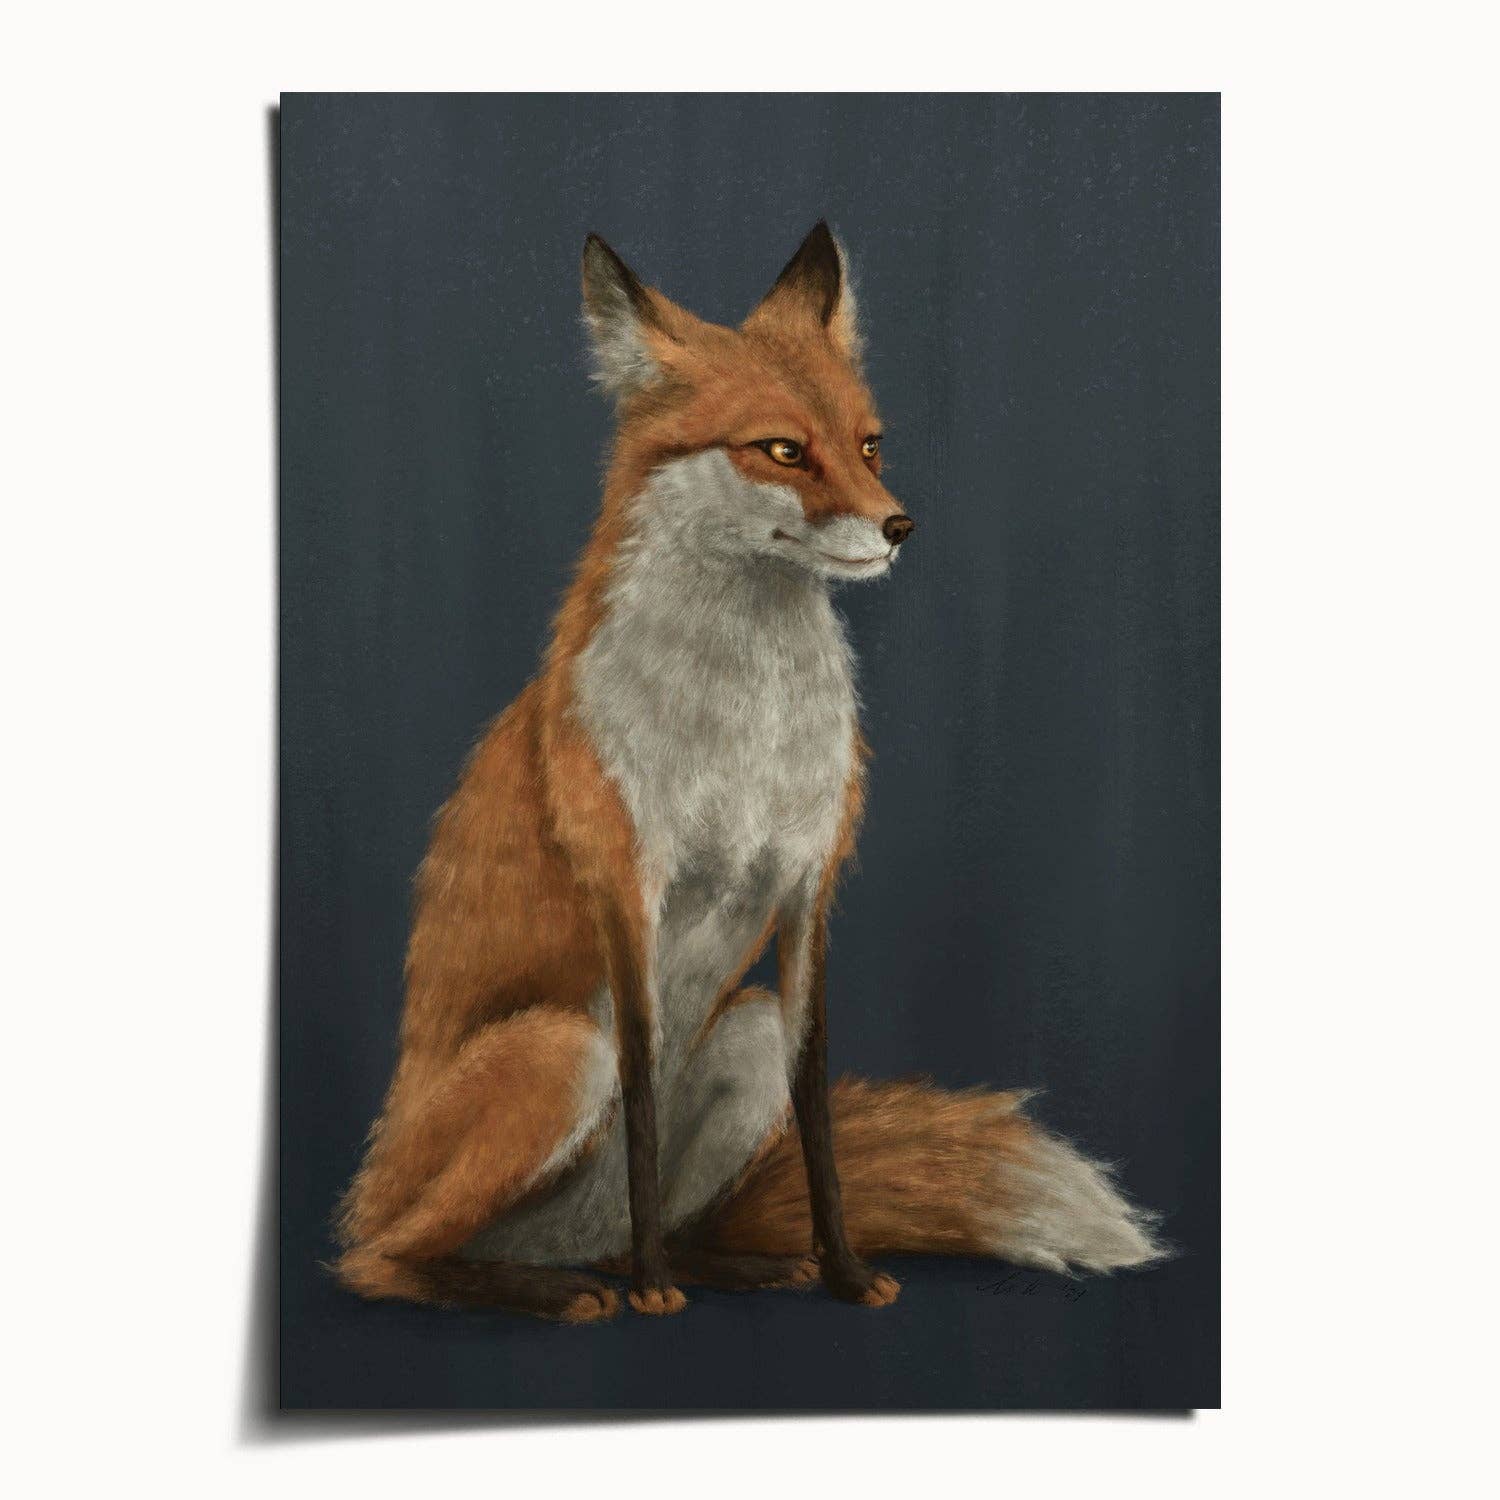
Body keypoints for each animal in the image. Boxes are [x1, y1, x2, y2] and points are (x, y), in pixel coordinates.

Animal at [334, 223, 1166, 1322]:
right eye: (782, 449)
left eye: (870, 444)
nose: (900, 526)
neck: (746, 730)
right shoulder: (628, 890)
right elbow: (643, 1098)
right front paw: (654, 1293)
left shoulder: (809, 888)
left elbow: (816, 1112)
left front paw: (844, 1271)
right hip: (557, 1052)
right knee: (382, 1259)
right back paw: (562, 1288)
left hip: (744, 1032)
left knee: (642, 1220)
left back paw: (719, 1265)